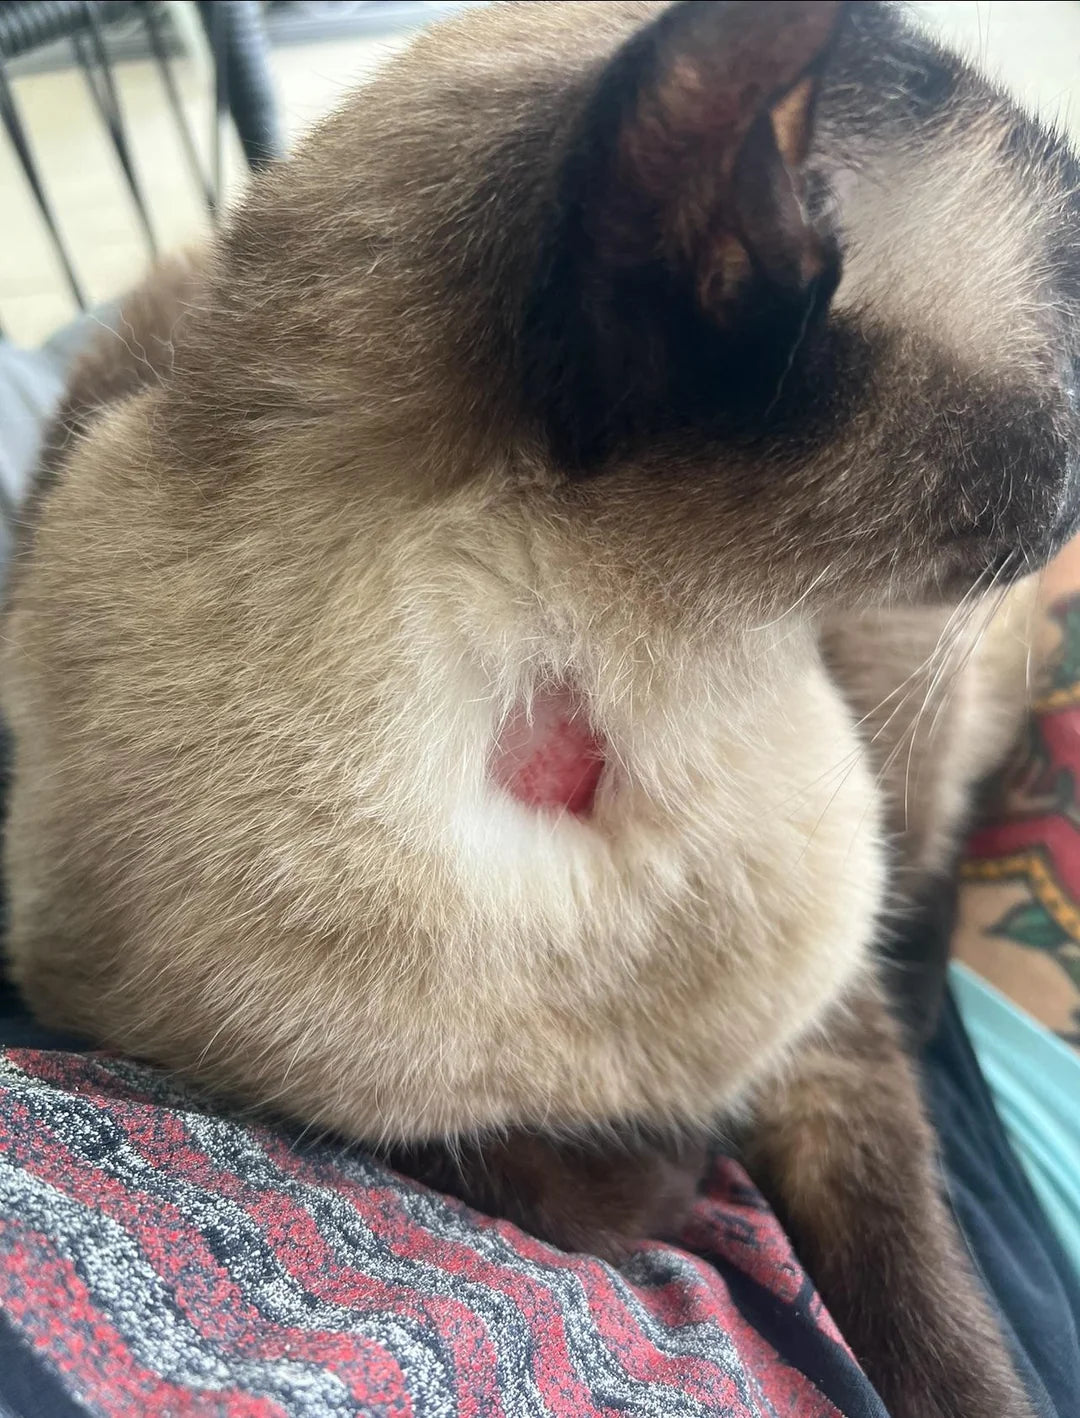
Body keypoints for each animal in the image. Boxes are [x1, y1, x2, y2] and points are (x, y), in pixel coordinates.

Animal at [5, 4, 1078, 1414]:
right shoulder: (127, 1020)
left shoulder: (828, 1050)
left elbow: (939, 1327)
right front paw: (661, 1164)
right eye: (1071, 346)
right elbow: (516, 1166)